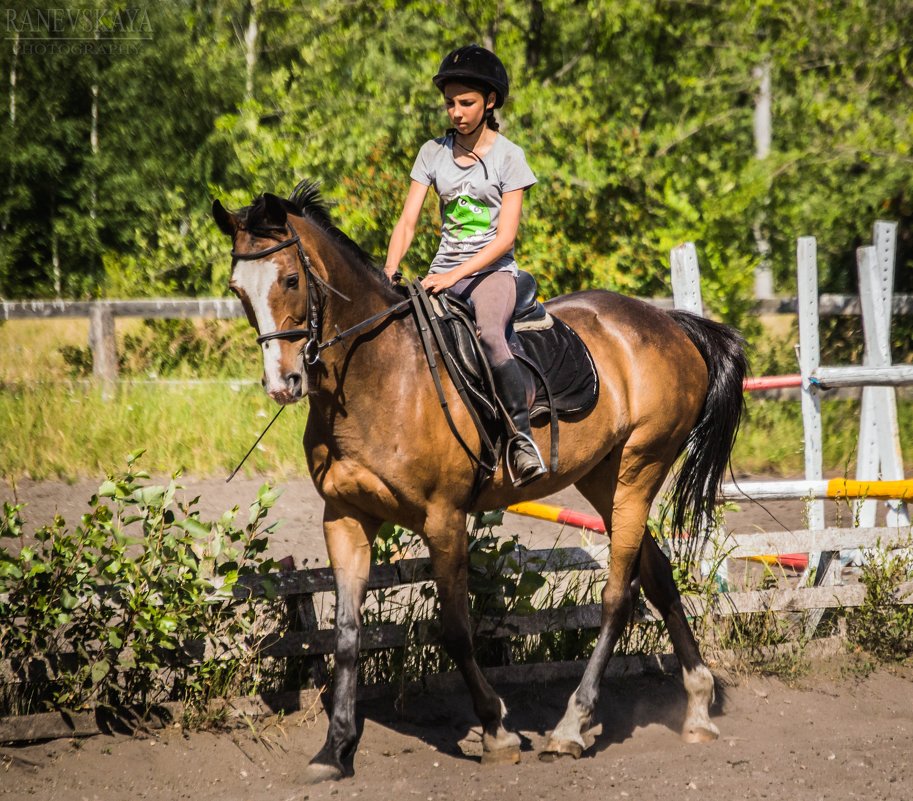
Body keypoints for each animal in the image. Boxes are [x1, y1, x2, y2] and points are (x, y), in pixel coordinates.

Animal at [214, 181, 748, 780]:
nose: (283, 383)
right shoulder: (345, 517)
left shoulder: (443, 518)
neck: (379, 374)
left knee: (617, 596)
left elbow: (456, 629)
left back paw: (570, 727)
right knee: (656, 576)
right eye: (238, 289)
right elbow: (348, 635)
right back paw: (697, 707)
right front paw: (335, 749)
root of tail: (670, 324)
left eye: (289, 279)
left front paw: (495, 730)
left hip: (640, 469)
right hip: (604, 480)